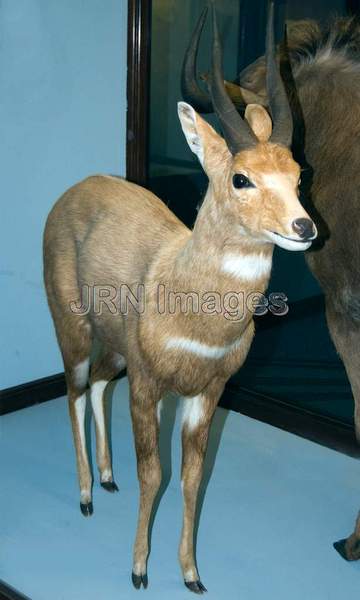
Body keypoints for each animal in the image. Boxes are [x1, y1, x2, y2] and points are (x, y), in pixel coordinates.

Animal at [43, 1, 316, 592]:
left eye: (298, 173)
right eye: (241, 178)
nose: (305, 227)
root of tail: (74, 190)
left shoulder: (207, 391)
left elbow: (193, 476)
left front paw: (191, 573)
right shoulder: (150, 385)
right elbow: (155, 473)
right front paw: (139, 569)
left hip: (114, 347)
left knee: (97, 385)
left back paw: (107, 477)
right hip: (72, 328)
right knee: (73, 391)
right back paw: (85, 495)